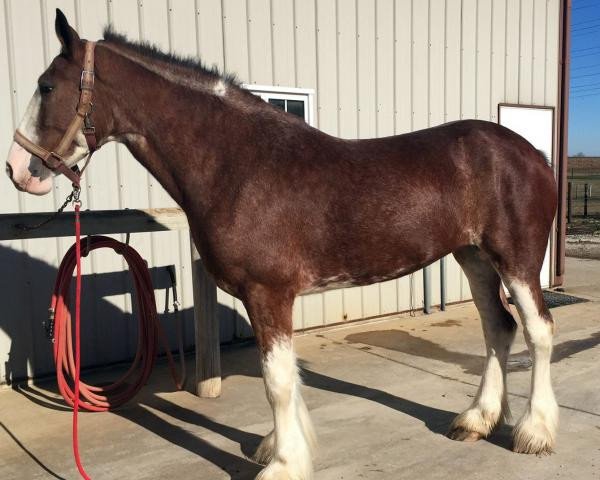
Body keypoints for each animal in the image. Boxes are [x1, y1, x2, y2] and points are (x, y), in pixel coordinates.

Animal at [4, 9, 556, 478]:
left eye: (47, 85)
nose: (17, 169)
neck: (239, 164)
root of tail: (533, 154)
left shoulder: (268, 292)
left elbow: (277, 380)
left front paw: (285, 463)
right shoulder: (263, 298)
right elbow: (283, 376)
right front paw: (277, 447)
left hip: (516, 260)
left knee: (537, 331)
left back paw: (534, 432)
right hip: (474, 256)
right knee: (497, 327)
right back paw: (477, 419)